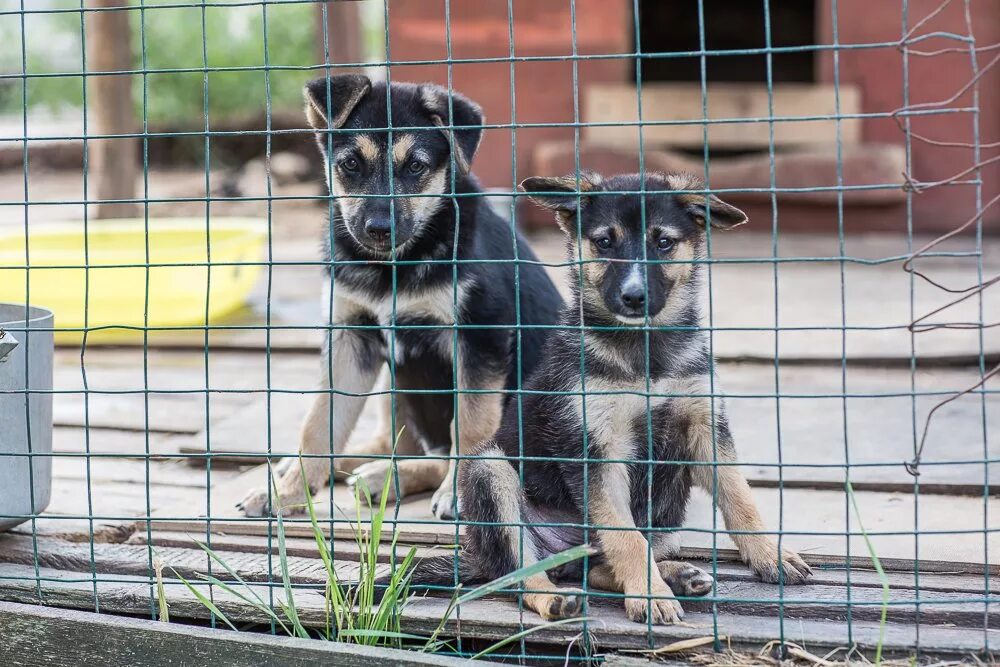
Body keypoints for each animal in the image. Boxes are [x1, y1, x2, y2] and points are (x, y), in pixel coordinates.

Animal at [235, 75, 564, 520]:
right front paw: (287, 492)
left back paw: (385, 477)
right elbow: (320, 422)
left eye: (416, 167)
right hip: (394, 381)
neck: (395, 268)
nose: (378, 229)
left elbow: (471, 425)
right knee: (397, 441)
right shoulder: (350, 338)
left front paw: (458, 493)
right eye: (351, 164)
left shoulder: (481, 337)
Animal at [402, 172, 816, 628]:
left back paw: (676, 575)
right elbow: (625, 535)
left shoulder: (706, 428)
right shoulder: (597, 449)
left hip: (665, 512)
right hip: (490, 471)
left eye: (663, 242)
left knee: (594, 564)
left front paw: (770, 555)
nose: (634, 297)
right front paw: (650, 595)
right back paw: (558, 598)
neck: (645, 354)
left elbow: (740, 497)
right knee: (520, 573)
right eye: (604, 242)